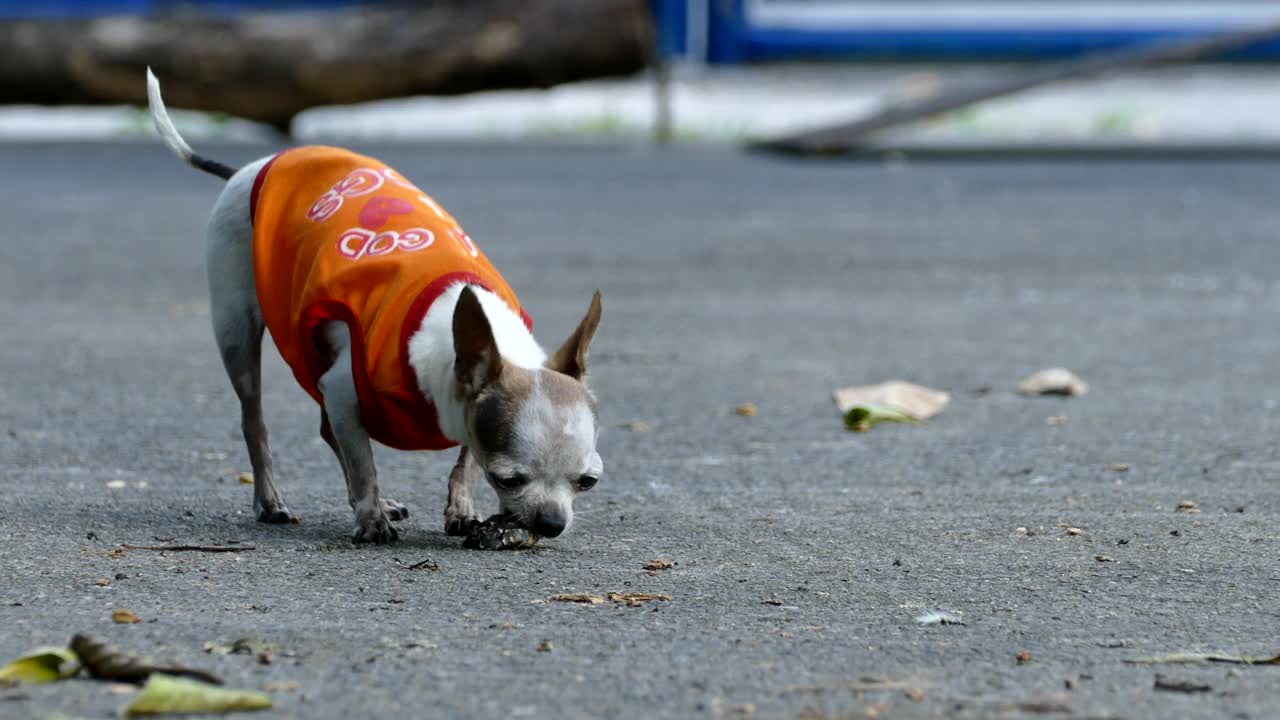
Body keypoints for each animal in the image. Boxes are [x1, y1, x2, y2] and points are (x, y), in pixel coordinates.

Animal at [145, 68, 604, 543]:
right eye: (509, 478)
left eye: (587, 482)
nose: (552, 523)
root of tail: (249, 169)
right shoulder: (346, 388)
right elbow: (364, 462)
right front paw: (370, 519)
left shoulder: (463, 409)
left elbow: (464, 460)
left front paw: (460, 508)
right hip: (239, 332)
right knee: (256, 422)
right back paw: (273, 501)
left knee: (327, 429)